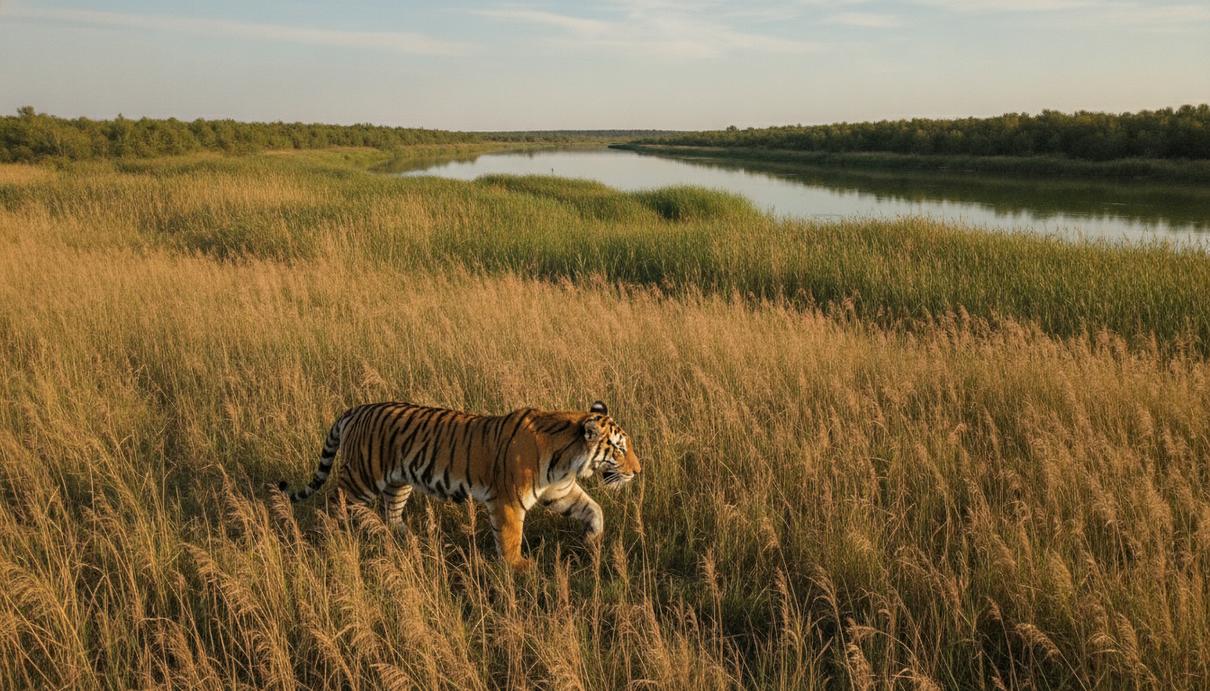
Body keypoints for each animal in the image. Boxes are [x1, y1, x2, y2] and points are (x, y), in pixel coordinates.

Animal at [277, 400, 641, 569]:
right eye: (620, 449)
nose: (638, 471)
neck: (567, 461)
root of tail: (356, 409)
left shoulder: (559, 491)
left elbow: (592, 508)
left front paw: (593, 538)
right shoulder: (508, 502)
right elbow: (510, 539)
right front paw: (519, 570)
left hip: (398, 483)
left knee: (390, 514)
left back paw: (405, 539)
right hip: (360, 477)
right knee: (334, 504)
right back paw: (331, 537)